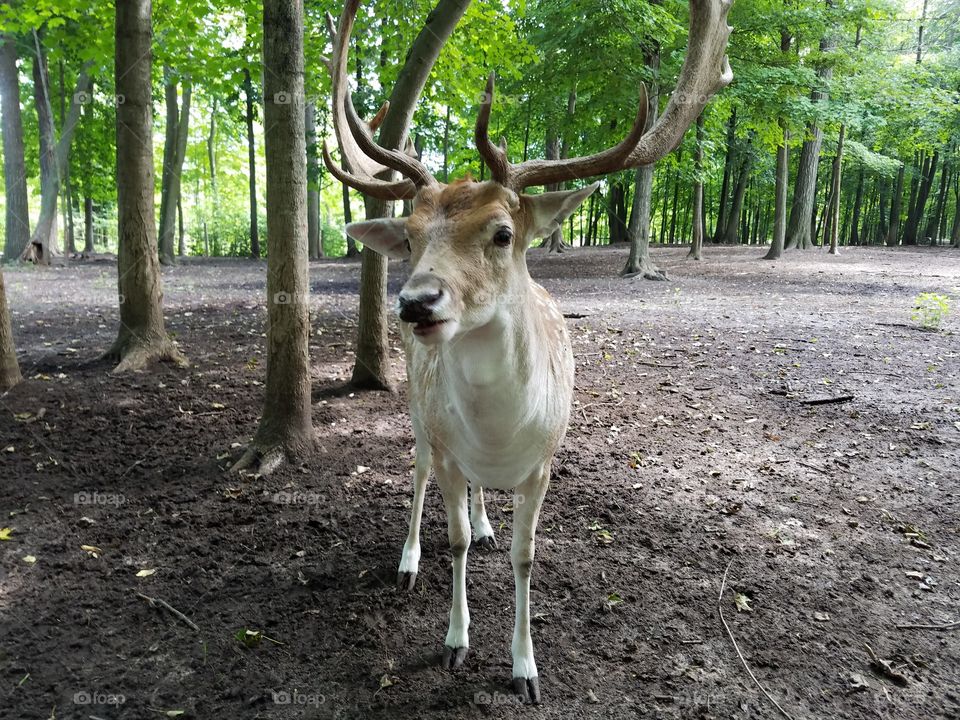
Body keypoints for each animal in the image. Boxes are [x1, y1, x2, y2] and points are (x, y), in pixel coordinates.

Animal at [322, 0, 732, 703]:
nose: (415, 302)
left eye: (503, 233)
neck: (497, 432)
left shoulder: (544, 461)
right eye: (411, 236)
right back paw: (408, 560)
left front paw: (525, 669)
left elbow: (525, 555)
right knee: (418, 471)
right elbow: (454, 539)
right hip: (419, 414)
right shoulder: (451, 448)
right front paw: (456, 642)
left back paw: (489, 522)